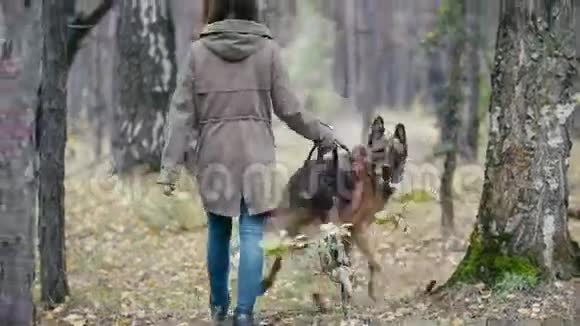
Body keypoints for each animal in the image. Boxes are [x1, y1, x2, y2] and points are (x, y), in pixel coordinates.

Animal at [262, 118, 408, 306]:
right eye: (379, 151)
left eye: (396, 153)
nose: (386, 170)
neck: (367, 173)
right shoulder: (357, 228)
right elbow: (373, 262)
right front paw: (373, 293)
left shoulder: (351, 230)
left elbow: (362, 263)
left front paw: (358, 293)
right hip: (317, 228)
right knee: (304, 258)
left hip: (307, 229)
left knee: (290, 255)